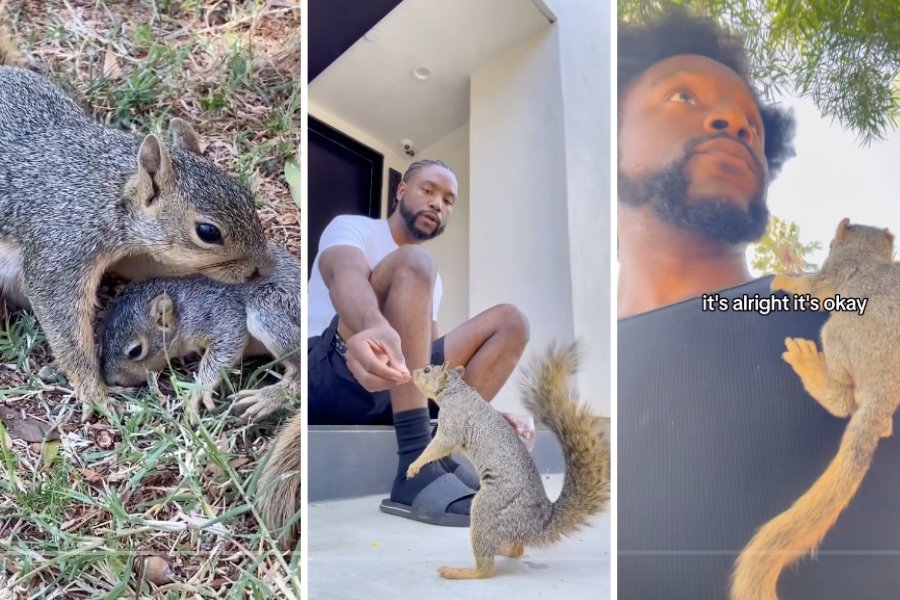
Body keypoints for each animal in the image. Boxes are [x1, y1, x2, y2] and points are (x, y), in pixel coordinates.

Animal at [0, 30, 273, 421]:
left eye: (247, 194)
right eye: (208, 232)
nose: (265, 268)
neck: (111, 192)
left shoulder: (135, 253)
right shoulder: (62, 247)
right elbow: (64, 324)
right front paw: (95, 392)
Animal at [99, 244, 300, 423]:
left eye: (135, 351)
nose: (111, 380)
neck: (180, 306)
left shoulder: (215, 313)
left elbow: (229, 339)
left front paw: (199, 390)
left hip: (267, 310)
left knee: (296, 372)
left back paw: (267, 398)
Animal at [407, 342, 610, 579]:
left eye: (427, 370)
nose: (412, 372)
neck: (454, 390)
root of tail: (537, 523)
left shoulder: (453, 421)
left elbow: (442, 444)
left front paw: (415, 466)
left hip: (488, 508)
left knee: (486, 569)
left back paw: (461, 571)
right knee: (517, 549)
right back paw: (502, 549)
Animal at [730, 218, 900, 600]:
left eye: (831, 246)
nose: (830, 245)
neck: (869, 255)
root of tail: (883, 388)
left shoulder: (833, 276)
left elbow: (813, 289)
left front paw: (782, 280)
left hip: (837, 333)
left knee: (842, 401)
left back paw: (809, 365)